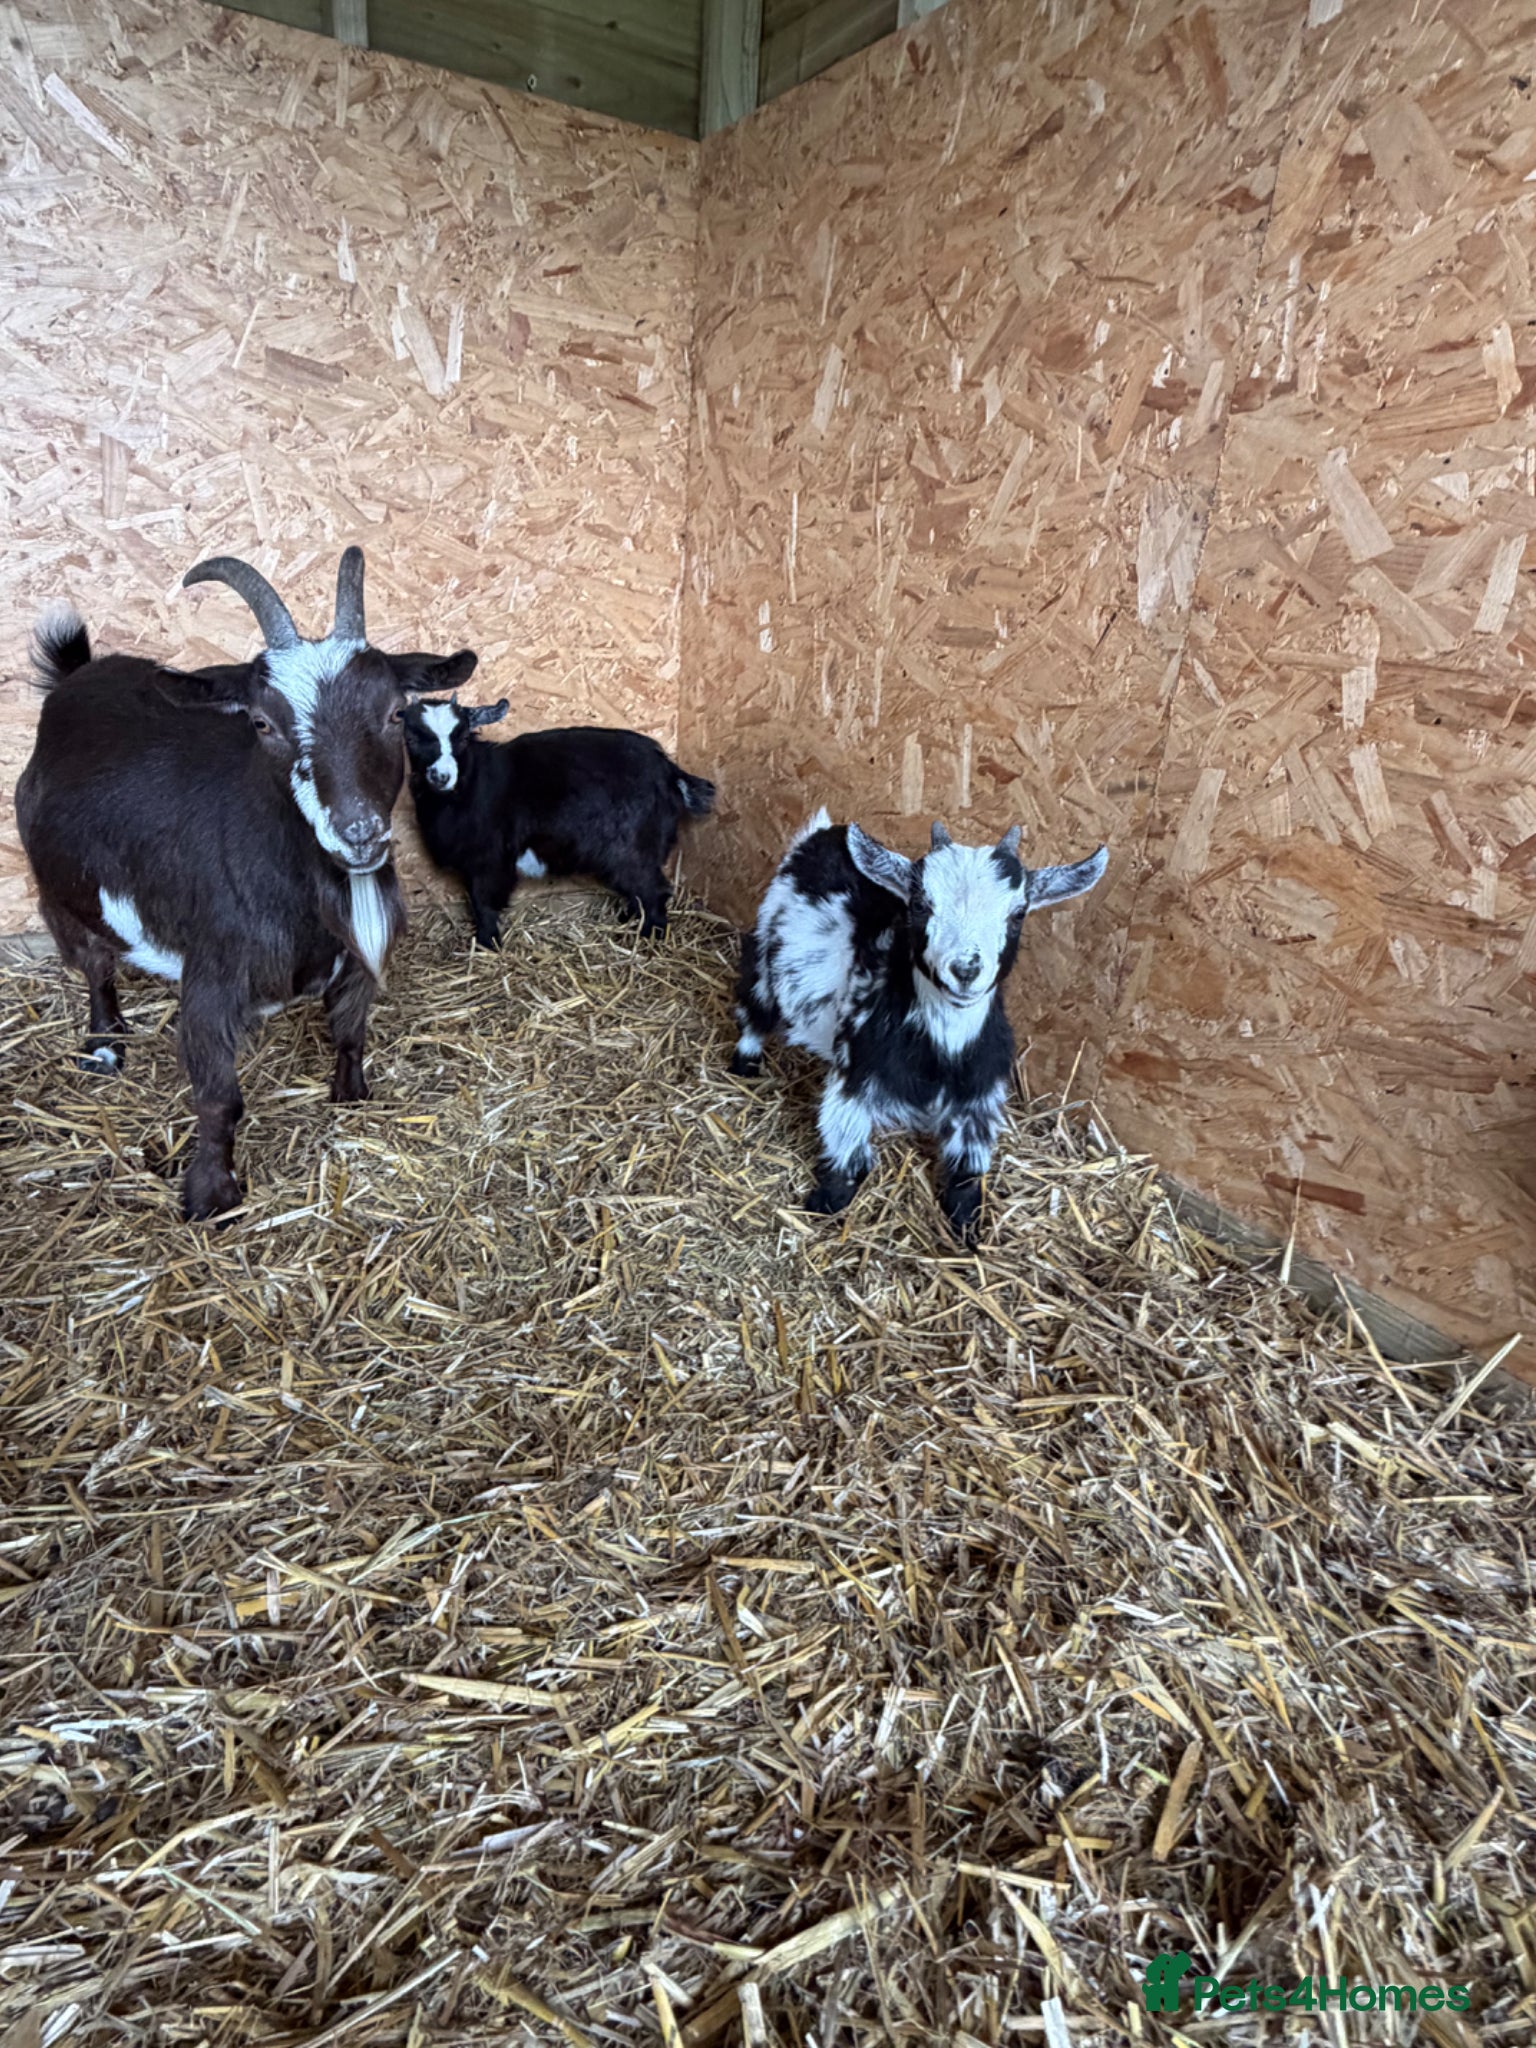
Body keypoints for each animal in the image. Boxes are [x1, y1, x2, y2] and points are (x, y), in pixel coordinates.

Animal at [15, 550, 476, 1221]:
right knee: (94, 964)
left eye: (396, 712)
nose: (359, 835)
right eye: (262, 722)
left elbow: (351, 1033)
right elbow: (219, 1099)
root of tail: (76, 679)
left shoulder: (358, 960)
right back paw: (104, 1044)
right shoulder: (211, 976)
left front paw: (352, 1095)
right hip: (59, 893)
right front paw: (211, 1197)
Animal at [402, 696, 717, 945]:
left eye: (463, 737)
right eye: (412, 738)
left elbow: (483, 902)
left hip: (633, 847)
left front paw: (487, 943)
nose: (441, 776)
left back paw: (650, 936)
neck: (470, 784)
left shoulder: (490, 859)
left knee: (653, 890)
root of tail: (669, 771)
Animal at [730, 811, 1109, 1245]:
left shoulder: (978, 1103)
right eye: (920, 904)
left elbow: (966, 1182)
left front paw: (967, 1234)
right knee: (754, 1010)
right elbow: (848, 1165)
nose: (966, 970)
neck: (942, 1052)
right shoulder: (852, 1081)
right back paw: (744, 1065)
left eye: (1018, 913)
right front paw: (822, 1203)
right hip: (764, 955)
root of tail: (827, 832)